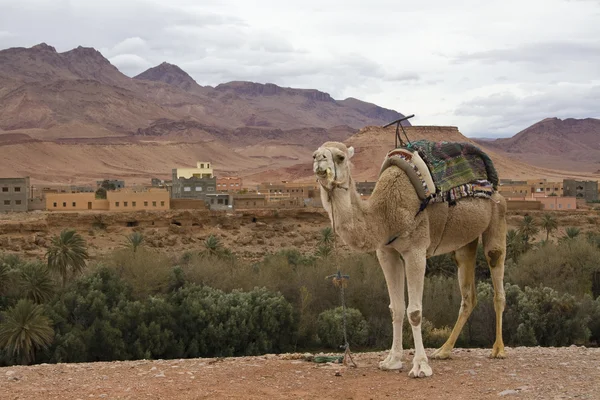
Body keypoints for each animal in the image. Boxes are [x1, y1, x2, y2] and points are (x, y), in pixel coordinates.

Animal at [314, 141, 506, 378]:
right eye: (314, 154)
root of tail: (495, 189)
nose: (319, 160)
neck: (383, 214)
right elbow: (395, 308)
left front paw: (420, 366)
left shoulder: (416, 250)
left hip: (498, 217)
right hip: (465, 242)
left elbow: (414, 311)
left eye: (340, 157)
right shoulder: (386, 252)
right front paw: (392, 361)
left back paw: (498, 350)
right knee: (468, 295)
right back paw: (443, 350)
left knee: (497, 276)